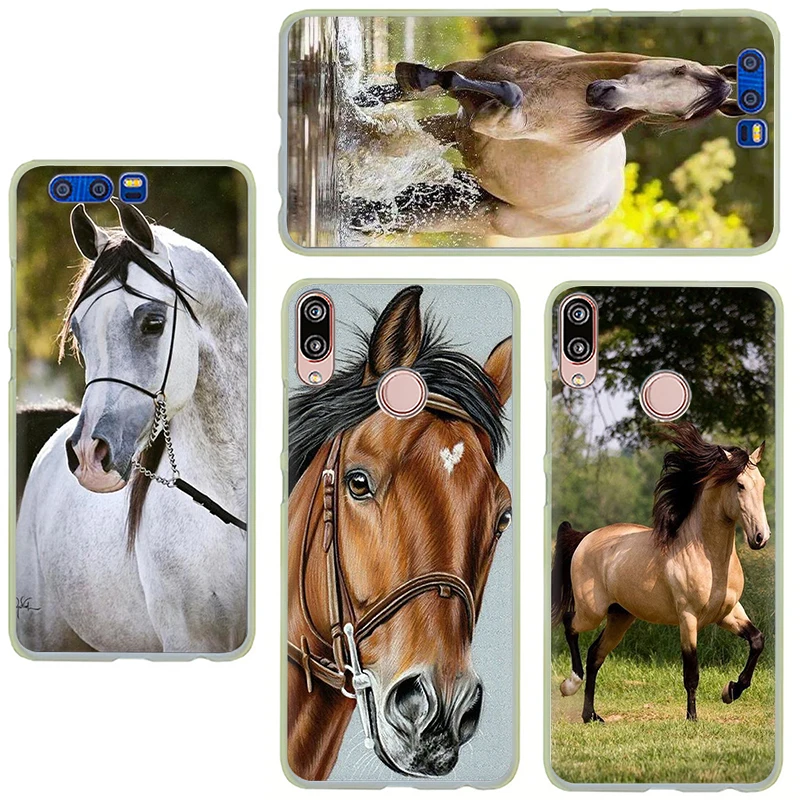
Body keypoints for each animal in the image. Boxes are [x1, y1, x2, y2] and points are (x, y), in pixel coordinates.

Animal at [352, 42, 743, 238]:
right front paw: (363, 98)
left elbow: (504, 93)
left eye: (681, 113)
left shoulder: (490, 122)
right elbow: (421, 86)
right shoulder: (467, 86)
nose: (604, 96)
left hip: (478, 209)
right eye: (681, 69)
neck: (553, 83)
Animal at [551, 422, 770, 723]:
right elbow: (691, 672)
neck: (707, 557)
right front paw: (692, 718)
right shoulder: (688, 618)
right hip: (592, 611)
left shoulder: (728, 613)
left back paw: (591, 715)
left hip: (620, 616)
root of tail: (586, 537)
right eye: (740, 485)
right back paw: (570, 684)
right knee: (570, 624)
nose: (761, 537)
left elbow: (757, 641)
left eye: (762, 484)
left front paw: (731, 691)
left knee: (596, 654)